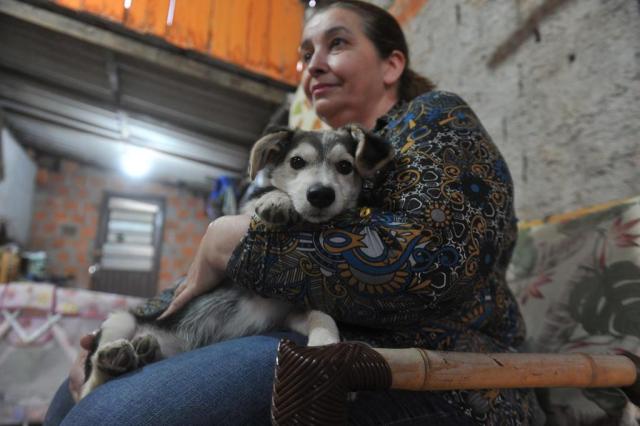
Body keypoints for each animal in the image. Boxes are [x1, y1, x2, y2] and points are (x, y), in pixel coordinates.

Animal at [79, 123, 390, 400]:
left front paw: (326, 348)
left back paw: (144, 349)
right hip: (119, 320)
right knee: (88, 385)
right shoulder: (241, 218)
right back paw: (116, 356)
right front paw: (278, 200)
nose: (321, 194)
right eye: (297, 162)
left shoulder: (290, 311)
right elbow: (264, 197)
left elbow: (323, 316)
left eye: (345, 167)